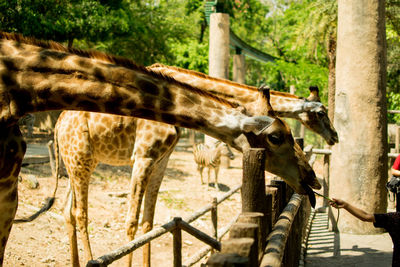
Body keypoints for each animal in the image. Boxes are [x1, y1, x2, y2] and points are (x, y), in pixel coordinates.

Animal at [0, 32, 318, 266]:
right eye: (276, 136)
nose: (312, 179)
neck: (21, 90)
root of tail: (58, 125)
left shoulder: (160, 160)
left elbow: (149, 221)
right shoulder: (142, 156)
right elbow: (131, 222)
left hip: (77, 160)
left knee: (68, 209)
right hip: (80, 160)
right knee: (80, 213)